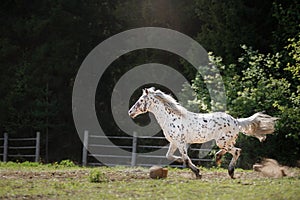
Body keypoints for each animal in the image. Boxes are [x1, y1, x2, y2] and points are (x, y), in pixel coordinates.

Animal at [127, 87, 278, 178]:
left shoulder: (181, 143)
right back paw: (218, 157)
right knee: (229, 150)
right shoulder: (174, 142)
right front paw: (183, 162)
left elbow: (186, 159)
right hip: (223, 142)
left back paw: (230, 171)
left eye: (141, 100)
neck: (171, 118)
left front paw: (197, 173)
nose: (130, 112)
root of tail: (236, 121)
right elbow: (170, 156)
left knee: (237, 151)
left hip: (222, 141)